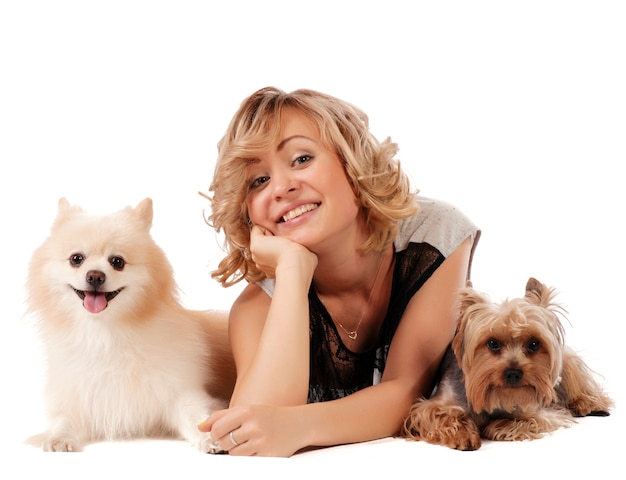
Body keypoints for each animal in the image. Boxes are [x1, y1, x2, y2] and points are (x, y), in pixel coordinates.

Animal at [25, 197, 236, 452]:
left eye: (117, 262)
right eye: (76, 259)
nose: (95, 276)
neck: (105, 333)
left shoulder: (179, 389)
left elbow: (196, 416)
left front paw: (211, 438)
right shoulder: (77, 396)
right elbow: (63, 420)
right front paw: (58, 438)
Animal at [400, 278, 608, 450]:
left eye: (534, 344)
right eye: (492, 343)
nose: (513, 373)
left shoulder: (540, 413)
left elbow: (525, 420)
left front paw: (495, 426)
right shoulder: (430, 407)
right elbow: (440, 414)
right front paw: (463, 435)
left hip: (566, 361)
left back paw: (587, 403)